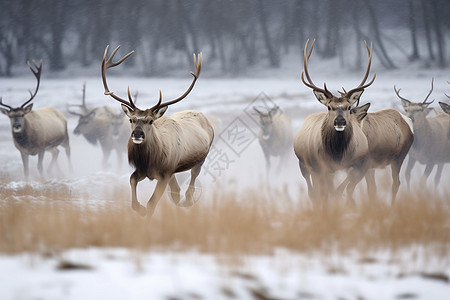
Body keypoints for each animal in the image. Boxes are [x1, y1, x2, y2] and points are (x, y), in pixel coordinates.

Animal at [102, 45, 214, 217]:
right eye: (131, 119)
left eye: (150, 121)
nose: (137, 134)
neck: (151, 160)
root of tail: (205, 117)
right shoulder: (143, 170)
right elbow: (132, 182)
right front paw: (139, 208)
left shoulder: (165, 173)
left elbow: (151, 203)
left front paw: (145, 213)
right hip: (174, 170)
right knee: (176, 191)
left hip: (199, 159)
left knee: (190, 186)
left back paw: (187, 203)